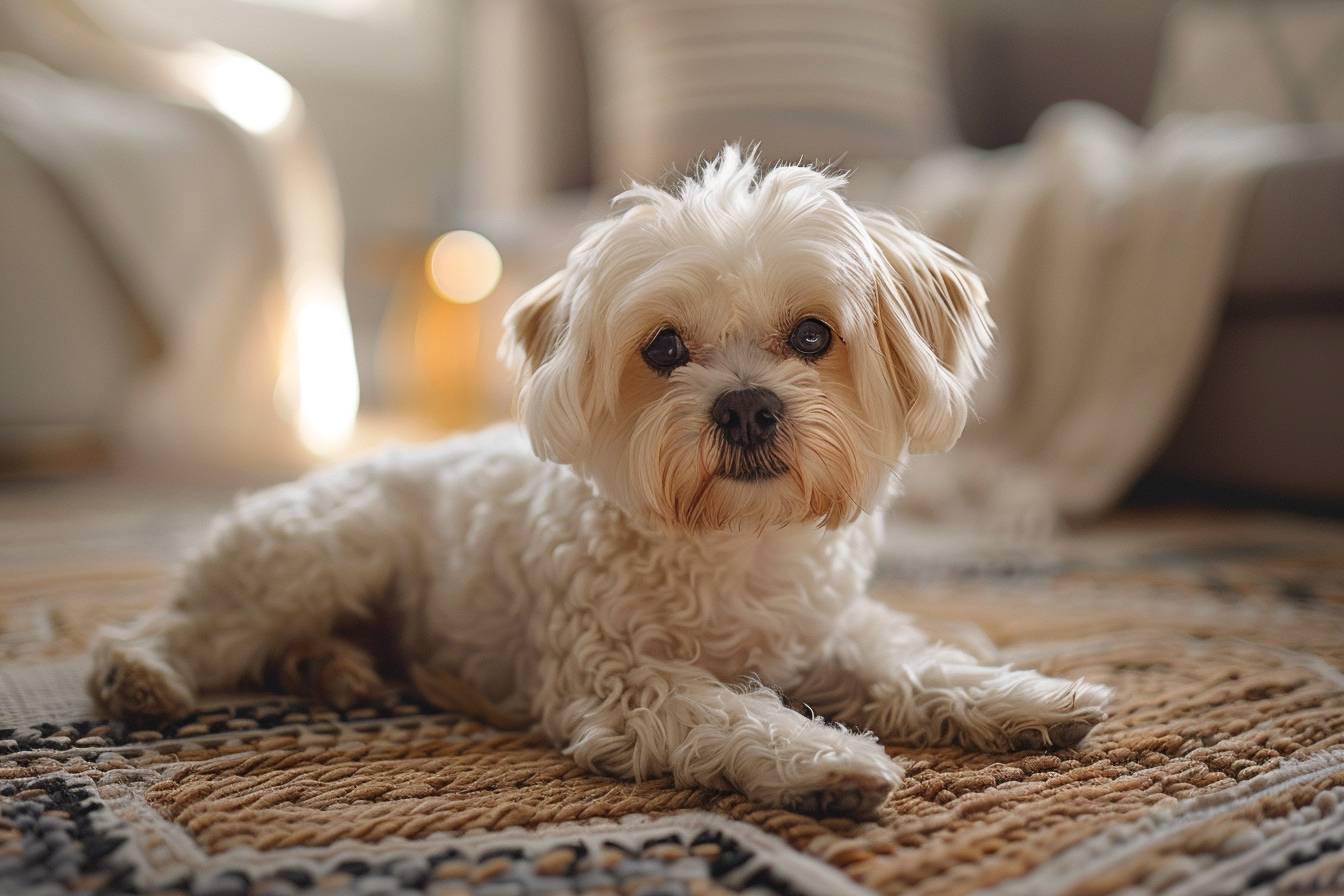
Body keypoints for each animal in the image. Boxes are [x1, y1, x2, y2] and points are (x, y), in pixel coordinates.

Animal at [94, 147, 1112, 822]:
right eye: (663, 349)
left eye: (814, 334)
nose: (747, 408)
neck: (736, 545)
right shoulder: (616, 680)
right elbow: (727, 709)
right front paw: (825, 759)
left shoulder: (827, 631)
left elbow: (913, 662)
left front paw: (1023, 700)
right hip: (327, 552)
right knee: (184, 629)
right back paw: (141, 677)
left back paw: (338, 670)